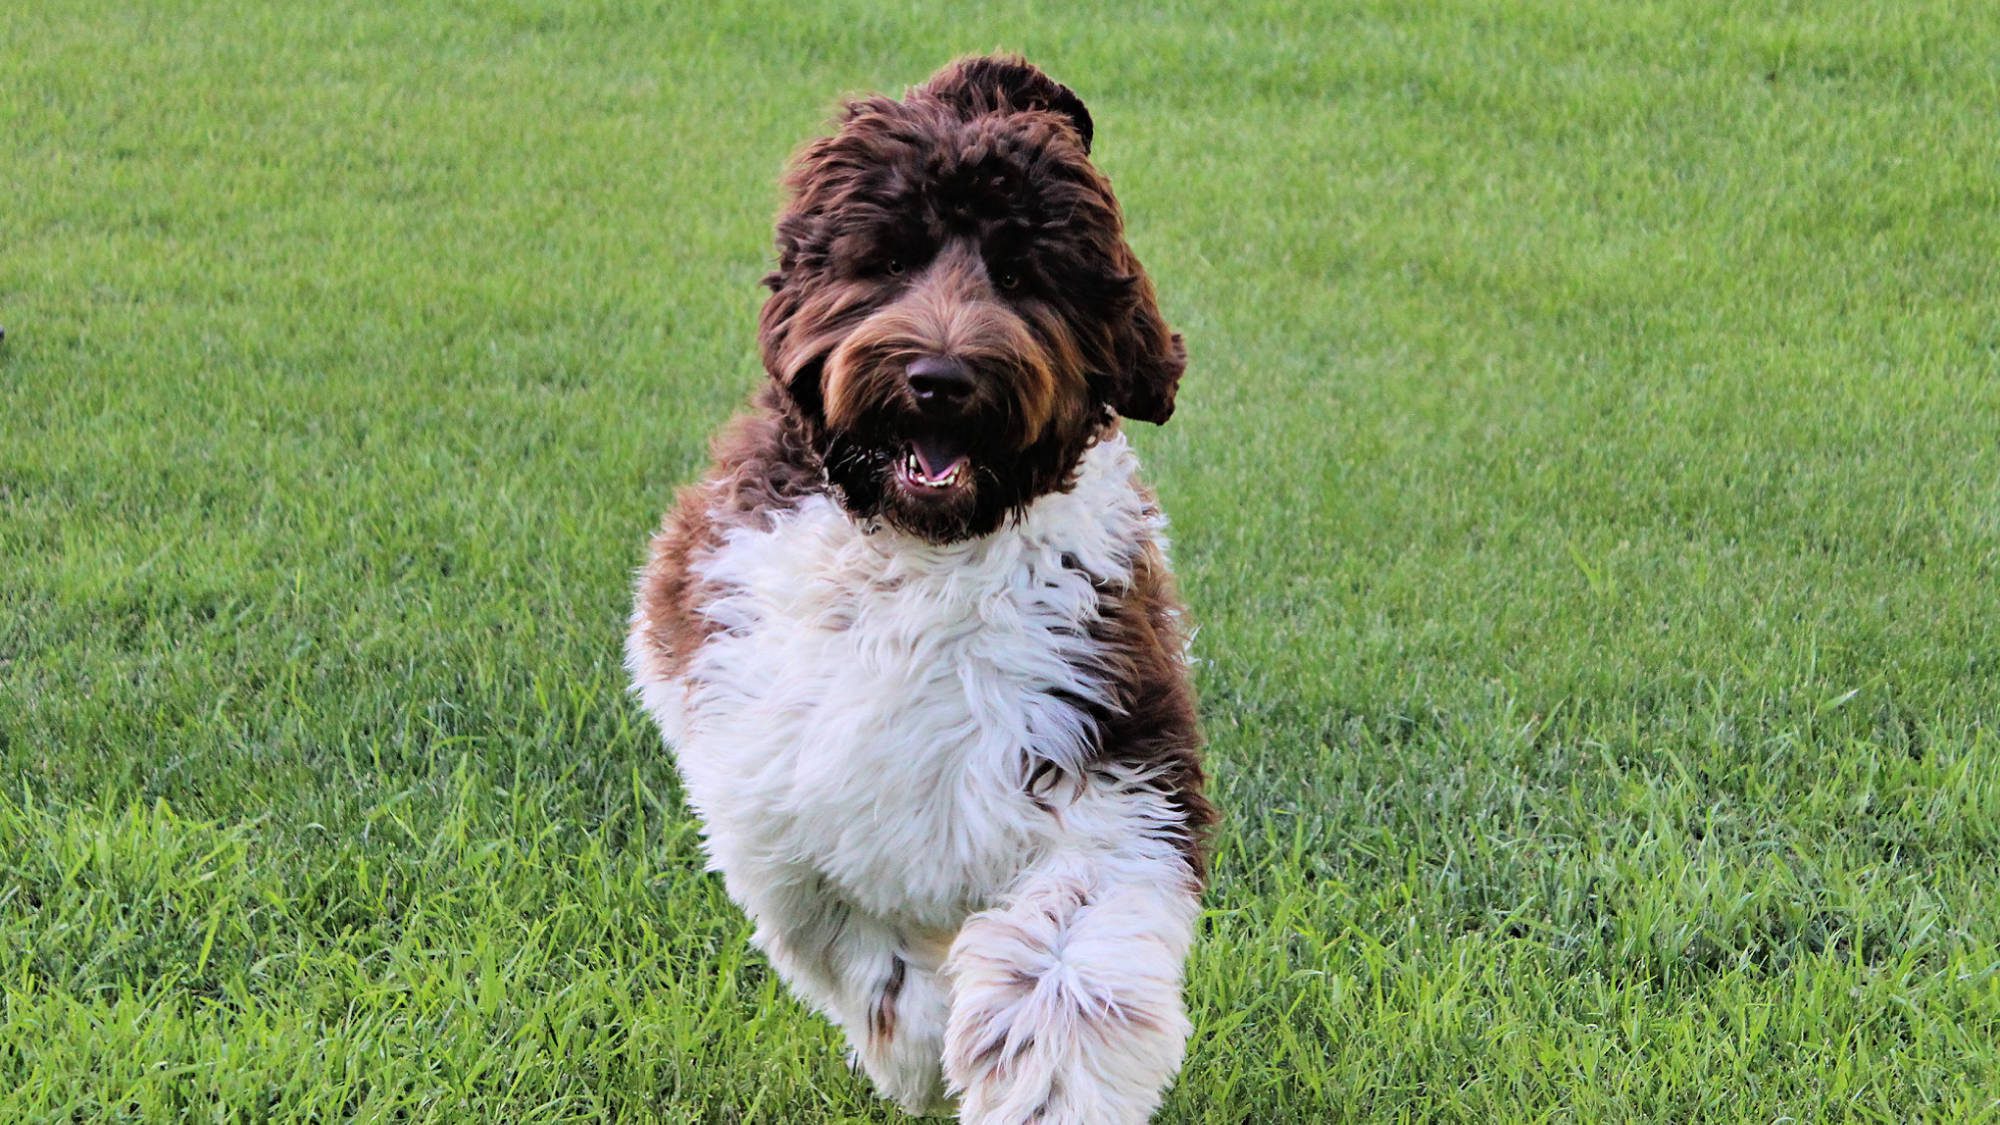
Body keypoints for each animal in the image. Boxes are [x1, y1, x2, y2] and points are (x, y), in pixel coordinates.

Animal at [624, 57, 1216, 1112]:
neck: (924, 549)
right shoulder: (774, 786)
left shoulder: (1107, 760)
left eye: (1022, 276)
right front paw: (913, 1051)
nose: (940, 377)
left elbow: (1064, 971)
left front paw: (1043, 1093)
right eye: (890, 260)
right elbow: (858, 943)